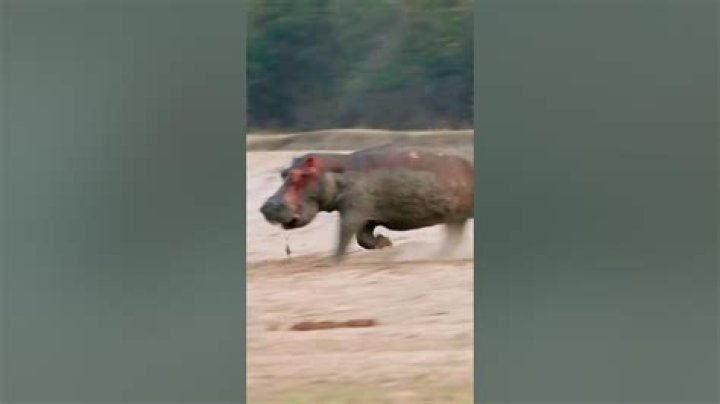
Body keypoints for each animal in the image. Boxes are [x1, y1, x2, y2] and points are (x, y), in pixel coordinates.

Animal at [260, 144, 474, 261]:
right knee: (453, 237)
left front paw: (332, 261)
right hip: (455, 215)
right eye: (284, 173)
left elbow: (344, 233)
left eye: (299, 176)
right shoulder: (367, 216)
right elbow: (363, 238)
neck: (334, 171)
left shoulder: (354, 210)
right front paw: (385, 242)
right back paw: (439, 255)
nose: (266, 206)